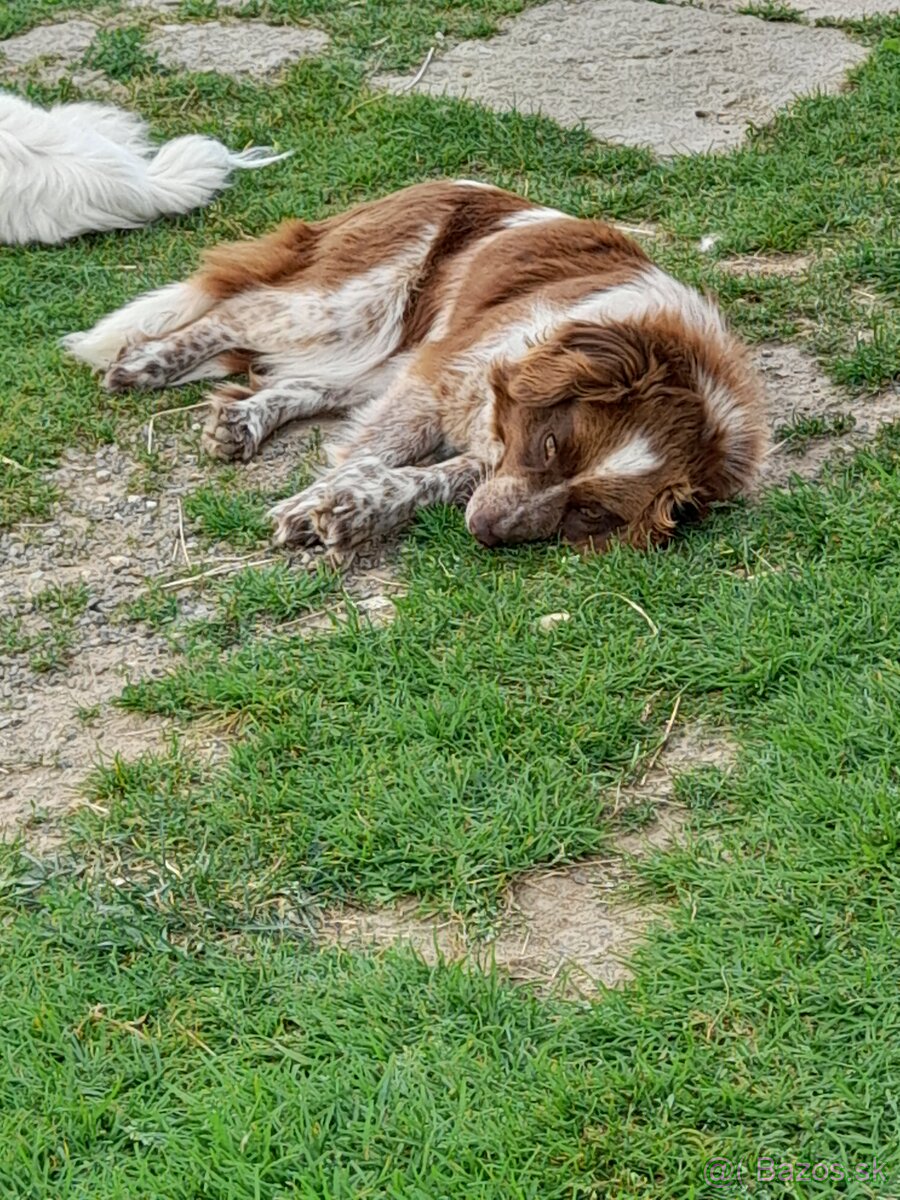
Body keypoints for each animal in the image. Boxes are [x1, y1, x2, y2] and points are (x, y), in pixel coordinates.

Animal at [63, 180, 768, 554]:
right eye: (549, 444)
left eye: (592, 513)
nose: (485, 530)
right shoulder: (437, 381)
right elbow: (372, 453)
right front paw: (317, 503)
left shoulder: (477, 442)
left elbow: (430, 479)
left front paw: (356, 508)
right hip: (353, 306)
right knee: (236, 311)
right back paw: (146, 360)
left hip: (380, 352)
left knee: (299, 381)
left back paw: (243, 421)